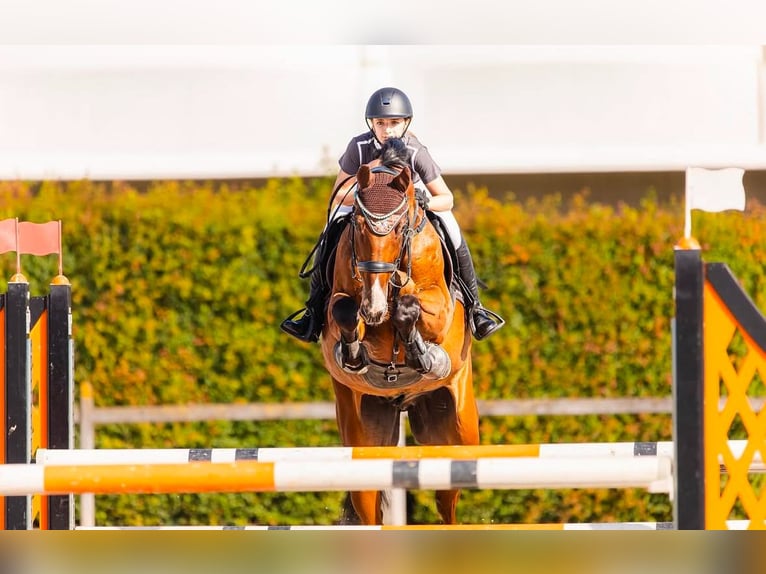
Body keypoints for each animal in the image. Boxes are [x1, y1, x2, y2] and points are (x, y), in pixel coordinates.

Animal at [320, 147, 480, 528]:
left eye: (400, 228)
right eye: (359, 225)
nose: (374, 307)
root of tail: (404, 404)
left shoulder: (441, 309)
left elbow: (411, 307)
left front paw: (422, 354)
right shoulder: (340, 305)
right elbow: (344, 311)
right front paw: (354, 353)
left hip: (458, 433)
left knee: (447, 501)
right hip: (363, 438)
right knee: (368, 506)